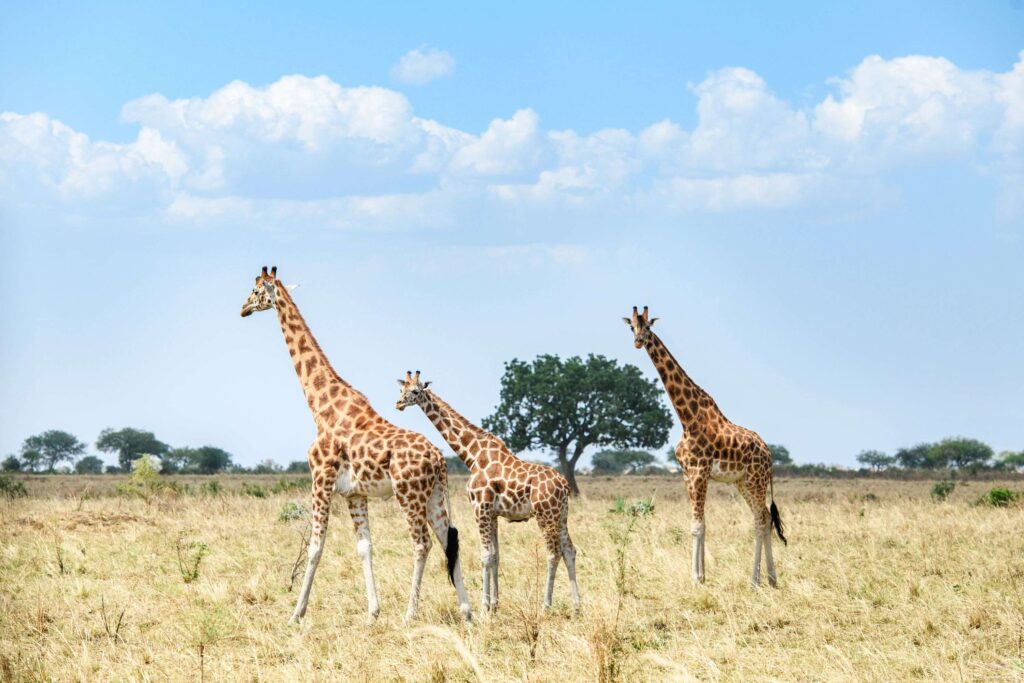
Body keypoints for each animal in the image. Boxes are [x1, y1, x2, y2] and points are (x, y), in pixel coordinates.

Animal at [240, 267, 472, 624]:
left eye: (255, 291)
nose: (242, 309)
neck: (321, 408)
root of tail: (440, 460)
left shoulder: (320, 480)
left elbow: (315, 547)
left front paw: (296, 614)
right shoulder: (354, 493)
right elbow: (365, 547)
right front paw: (372, 612)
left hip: (409, 494)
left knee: (422, 544)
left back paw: (410, 614)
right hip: (435, 496)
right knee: (448, 541)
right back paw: (468, 611)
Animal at [396, 372, 580, 614]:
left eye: (415, 391)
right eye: (401, 389)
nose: (398, 403)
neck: (472, 454)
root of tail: (565, 485)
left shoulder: (480, 508)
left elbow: (485, 555)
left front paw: (484, 608)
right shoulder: (493, 514)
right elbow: (496, 555)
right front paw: (494, 605)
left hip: (545, 515)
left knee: (553, 553)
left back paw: (545, 606)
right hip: (562, 515)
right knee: (569, 550)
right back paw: (577, 607)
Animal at [624, 306, 786, 587]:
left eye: (648, 327)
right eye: (631, 326)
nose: (637, 342)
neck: (687, 418)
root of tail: (769, 454)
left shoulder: (700, 471)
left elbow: (697, 525)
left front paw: (695, 578)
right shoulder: (687, 474)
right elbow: (702, 524)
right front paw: (703, 575)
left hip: (756, 479)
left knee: (760, 519)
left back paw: (754, 580)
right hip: (742, 482)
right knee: (765, 517)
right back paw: (771, 578)